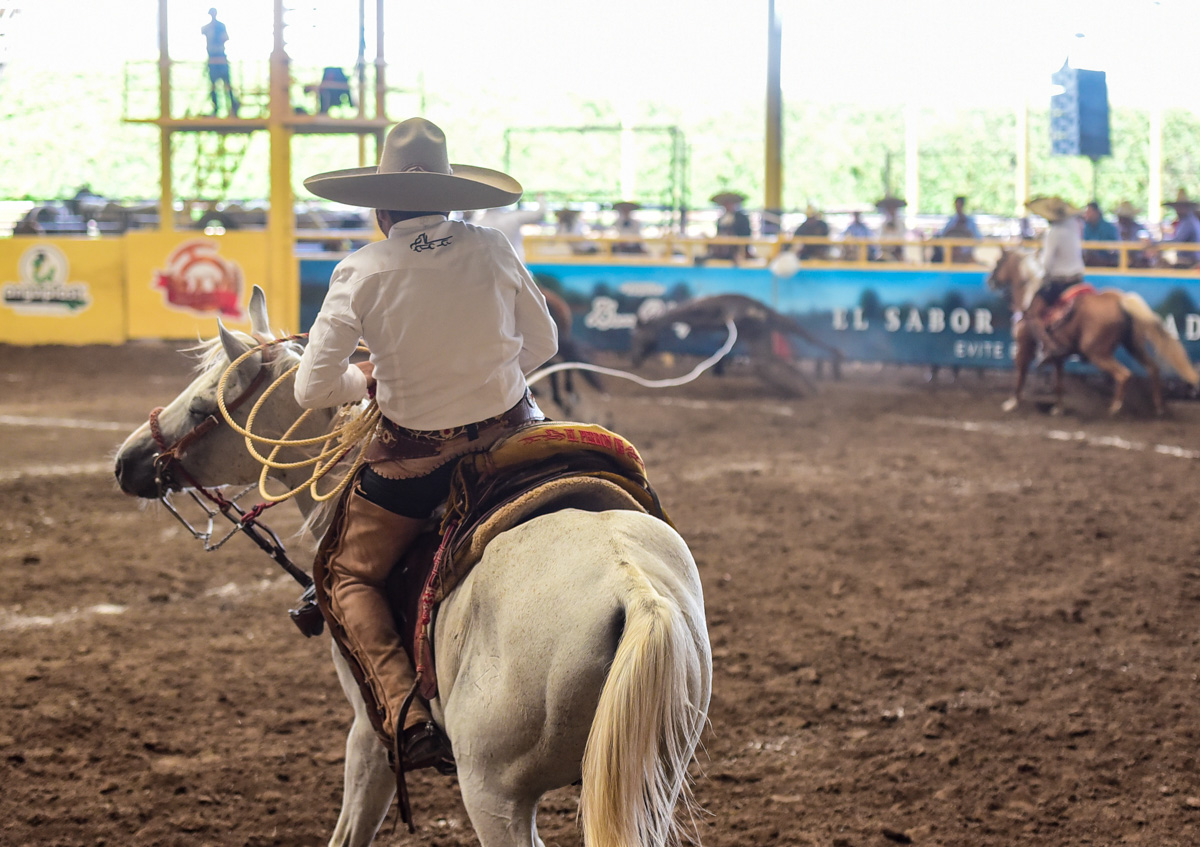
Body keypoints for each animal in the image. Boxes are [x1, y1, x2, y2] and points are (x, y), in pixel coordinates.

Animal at [110, 285, 710, 844]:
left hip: (493, 791)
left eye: (202, 407)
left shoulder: (369, 733)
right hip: (638, 785)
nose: (127, 461)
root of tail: (635, 589)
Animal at [628, 291, 844, 398]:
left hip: (783, 323)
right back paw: (805, 387)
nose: (634, 360)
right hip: (762, 343)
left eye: (638, 338)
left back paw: (836, 360)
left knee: (807, 338)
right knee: (768, 365)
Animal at [988, 245, 1195, 415]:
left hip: (1096, 351)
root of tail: (1119, 300)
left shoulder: (1024, 346)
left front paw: (1012, 402)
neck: (1028, 295)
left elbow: (1021, 374)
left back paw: (1115, 407)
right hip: (1133, 345)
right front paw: (1058, 408)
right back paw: (1158, 406)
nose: (990, 281)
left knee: (1124, 374)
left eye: (998, 262)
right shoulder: (1057, 354)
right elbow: (1058, 381)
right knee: (1153, 369)